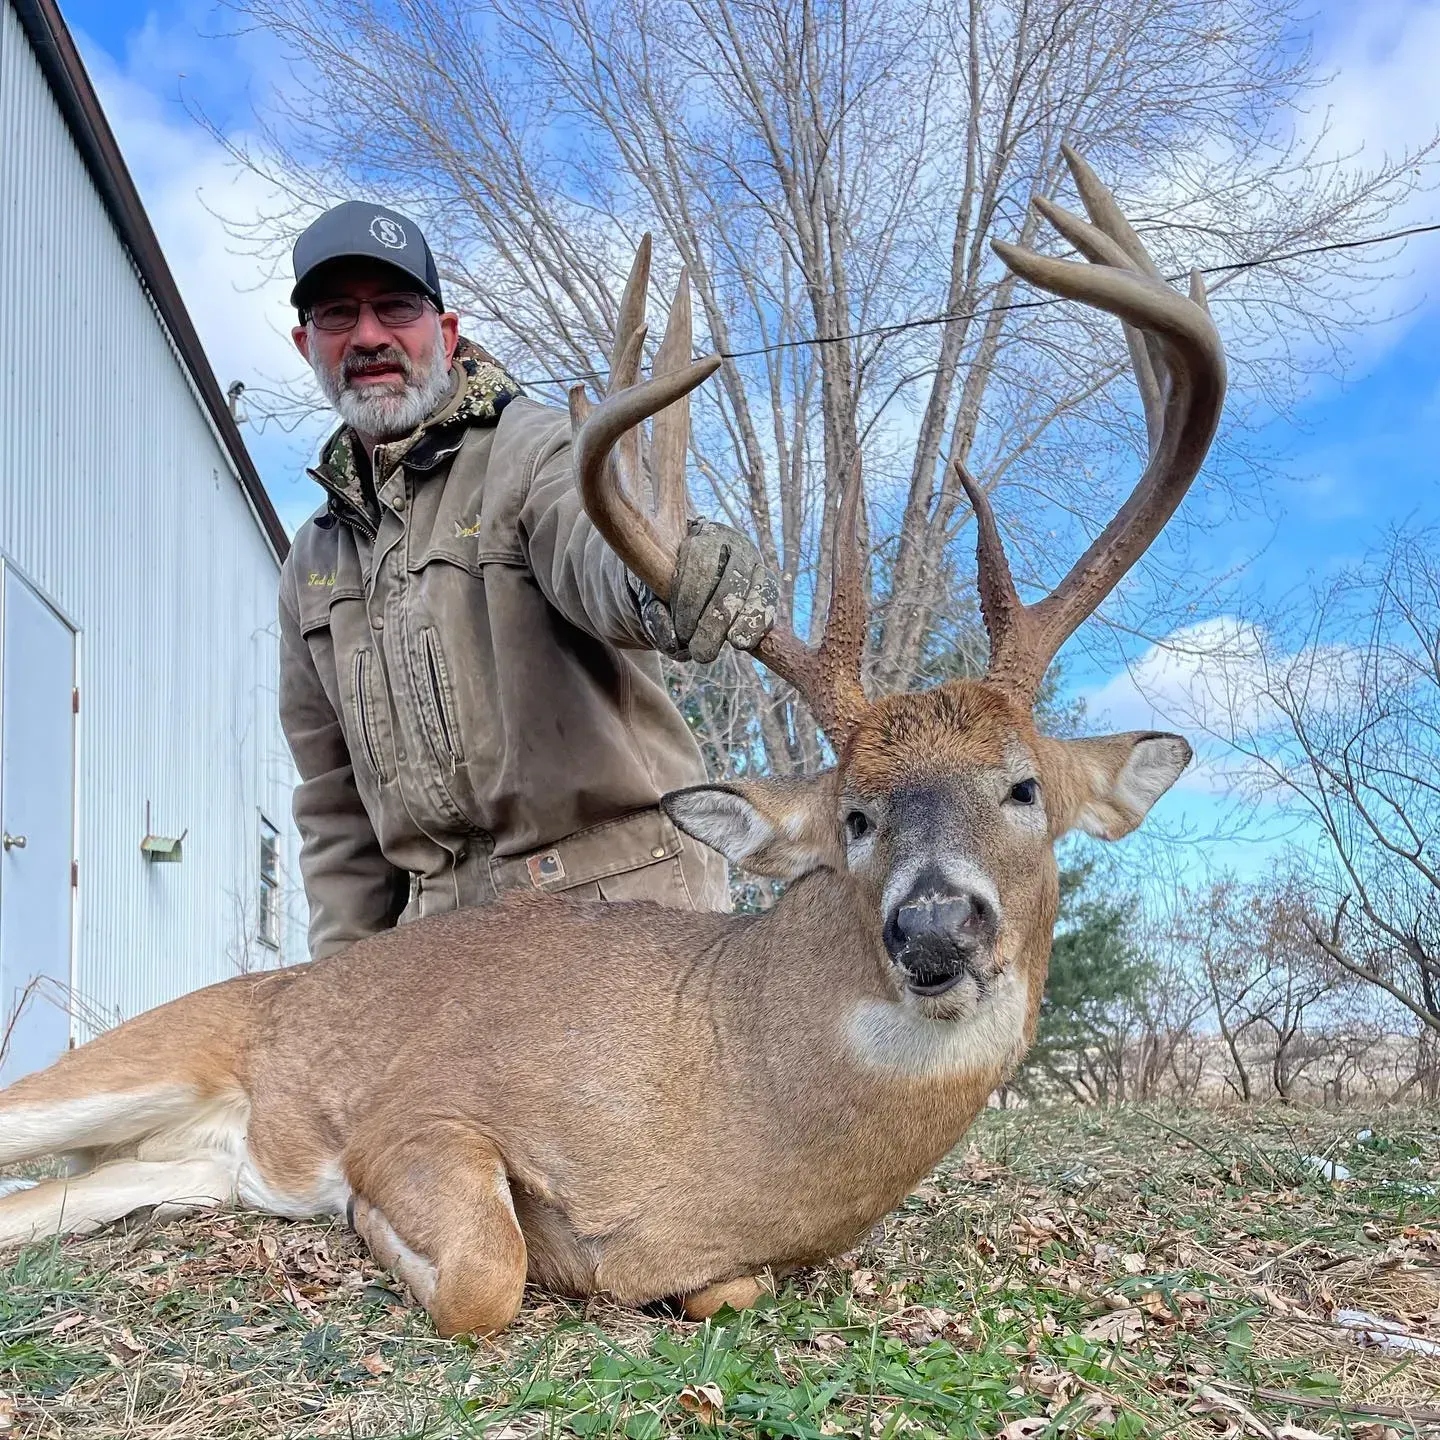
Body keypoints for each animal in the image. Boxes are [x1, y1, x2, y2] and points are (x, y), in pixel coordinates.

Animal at [0, 150, 1224, 1338]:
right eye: (855, 815)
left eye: (1023, 789)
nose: (932, 928)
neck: (718, 1111)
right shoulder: (420, 1106)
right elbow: (487, 1273)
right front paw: (381, 1229)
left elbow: (722, 1289)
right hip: (139, 1055)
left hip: (165, 1162)